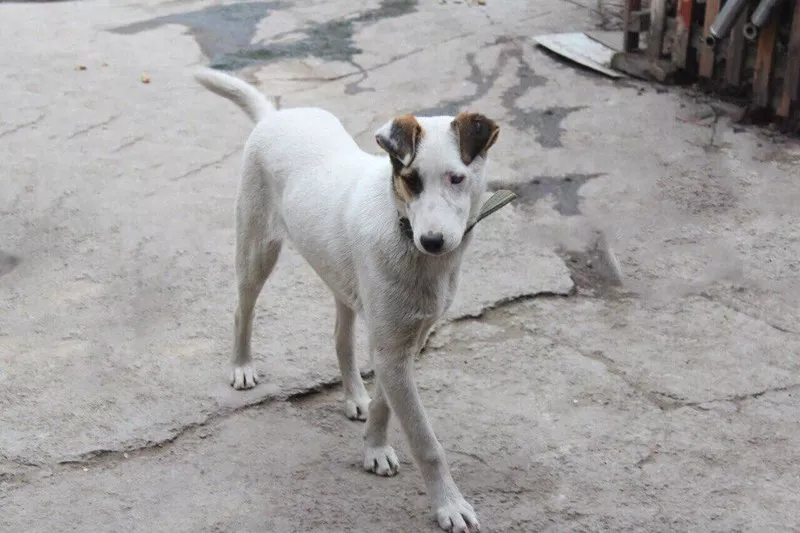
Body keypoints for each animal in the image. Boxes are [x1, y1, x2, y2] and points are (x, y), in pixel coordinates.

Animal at [197, 68, 512, 528]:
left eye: (457, 178)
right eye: (410, 180)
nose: (433, 241)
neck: (402, 229)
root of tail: (273, 116)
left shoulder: (404, 342)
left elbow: (386, 403)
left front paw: (374, 446)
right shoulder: (392, 348)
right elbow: (425, 441)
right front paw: (449, 505)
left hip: (341, 278)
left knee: (341, 338)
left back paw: (354, 395)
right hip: (256, 251)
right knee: (243, 310)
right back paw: (241, 366)